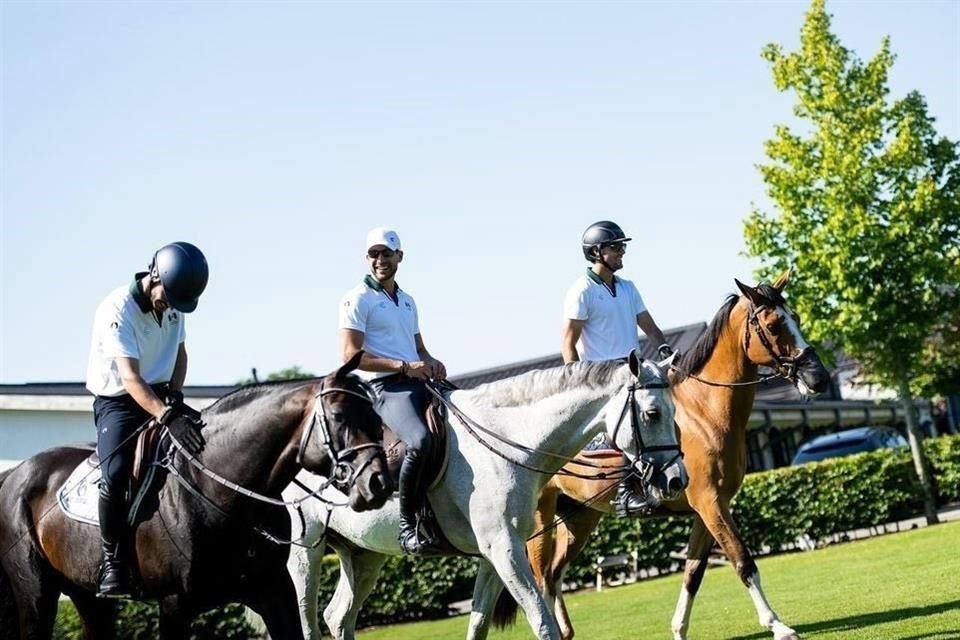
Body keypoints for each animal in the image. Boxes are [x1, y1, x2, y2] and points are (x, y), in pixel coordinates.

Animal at [0, 352, 390, 636]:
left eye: (375, 417)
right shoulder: (174, 605)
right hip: (36, 595)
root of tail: (13, 476)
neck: (221, 494)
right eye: (339, 416)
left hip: (87, 596)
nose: (378, 483)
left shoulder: (274, 593)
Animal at [498, 274, 828, 640]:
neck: (704, 413)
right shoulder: (710, 503)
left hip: (580, 519)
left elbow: (693, 572)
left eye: (795, 318)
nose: (819, 379)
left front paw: (679, 628)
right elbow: (742, 561)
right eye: (772, 325)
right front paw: (777, 625)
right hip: (541, 518)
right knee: (540, 578)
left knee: (554, 574)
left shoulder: (708, 508)